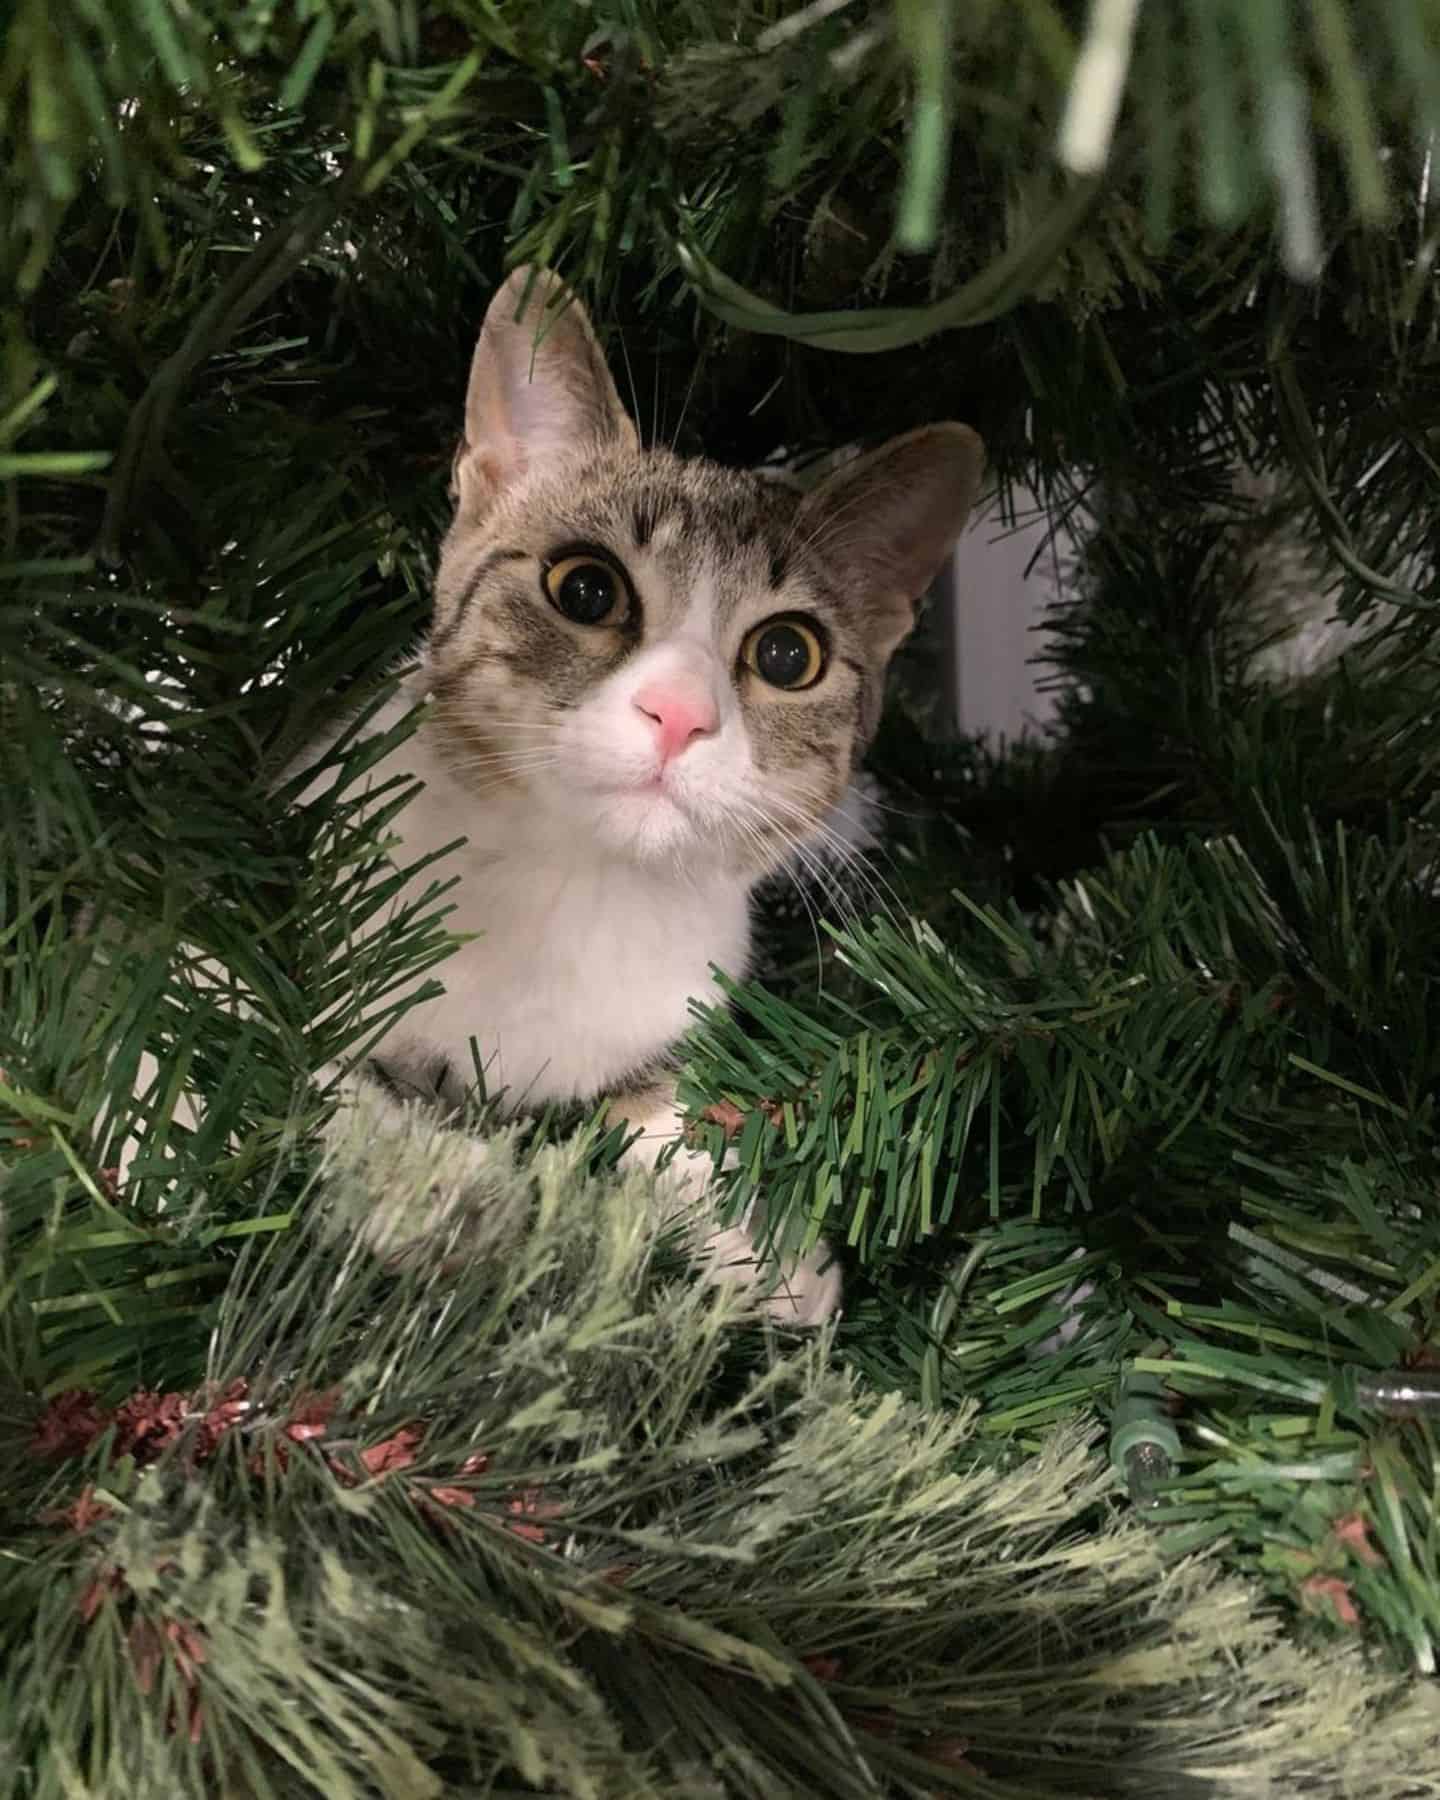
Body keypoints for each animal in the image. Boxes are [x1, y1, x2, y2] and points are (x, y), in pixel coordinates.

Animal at [124, 262, 986, 1324]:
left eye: (789, 654)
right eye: (586, 590)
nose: (678, 713)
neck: (567, 891)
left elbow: (666, 1107)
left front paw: (758, 1240)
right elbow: (231, 1040)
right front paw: (437, 1185)